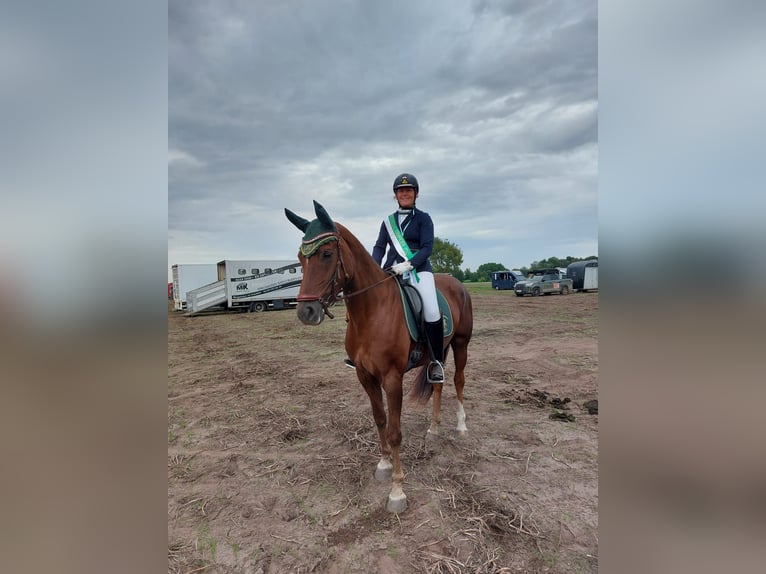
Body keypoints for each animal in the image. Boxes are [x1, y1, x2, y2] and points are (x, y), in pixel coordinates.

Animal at [284, 201, 472, 512]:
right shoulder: (364, 375)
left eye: (326, 254)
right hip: (439, 353)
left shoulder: (392, 378)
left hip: (461, 343)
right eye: (300, 257)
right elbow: (380, 419)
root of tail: (455, 283)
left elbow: (395, 430)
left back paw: (461, 426)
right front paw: (383, 466)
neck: (371, 311)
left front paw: (397, 491)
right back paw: (433, 430)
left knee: (458, 380)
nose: (306, 312)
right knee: (438, 383)